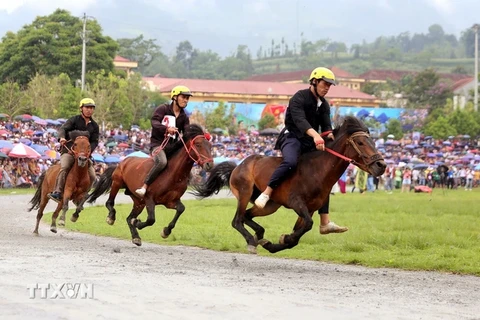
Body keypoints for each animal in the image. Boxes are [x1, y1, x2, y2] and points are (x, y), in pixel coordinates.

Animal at [86, 124, 214, 246]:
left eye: (210, 146)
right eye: (198, 144)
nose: (209, 165)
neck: (173, 174)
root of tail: (122, 162)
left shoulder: (170, 201)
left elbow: (181, 209)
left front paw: (165, 231)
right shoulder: (149, 199)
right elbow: (151, 219)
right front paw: (137, 223)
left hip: (139, 202)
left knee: (128, 218)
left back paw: (136, 237)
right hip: (118, 183)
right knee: (110, 202)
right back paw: (111, 218)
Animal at [191, 116, 386, 254]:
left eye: (372, 141)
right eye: (360, 142)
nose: (381, 165)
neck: (317, 169)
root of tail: (238, 165)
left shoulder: (310, 208)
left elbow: (300, 232)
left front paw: (277, 242)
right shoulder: (296, 203)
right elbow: (307, 225)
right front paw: (283, 239)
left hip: (269, 205)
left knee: (247, 215)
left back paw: (259, 234)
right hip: (245, 192)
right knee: (237, 220)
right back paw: (252, 241)